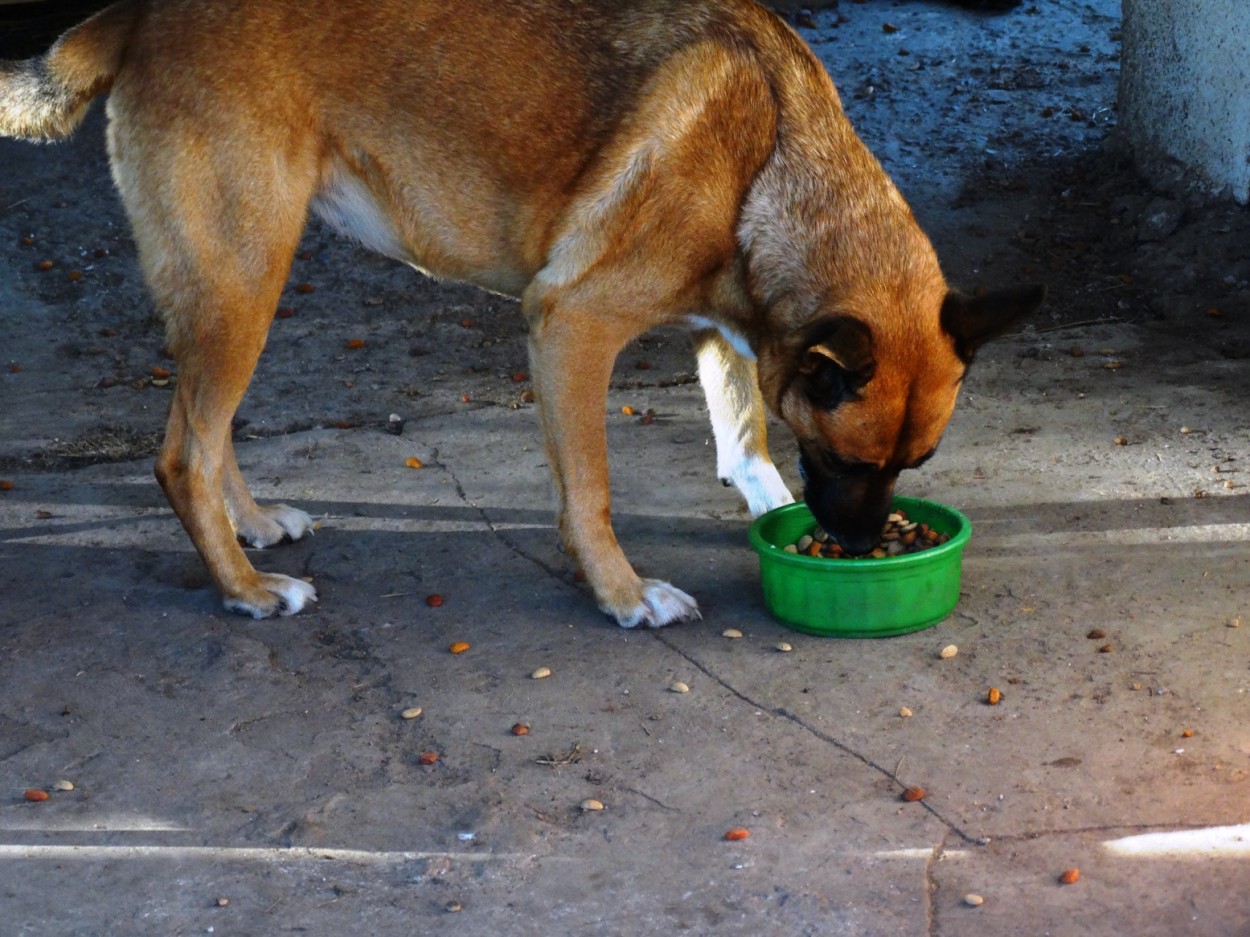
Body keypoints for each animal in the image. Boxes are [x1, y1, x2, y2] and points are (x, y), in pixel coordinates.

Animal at [2, 1, 1045, 632]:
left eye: (914, 466)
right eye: (847, 457)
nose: (862, 550)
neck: (773, 157)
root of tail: (138, 14)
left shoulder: (734, 326)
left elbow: (744, 428)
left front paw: (761, 494)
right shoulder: (571, 326)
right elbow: (591, 493)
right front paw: (623, 594)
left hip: (241, 285)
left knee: (207, 433)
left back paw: (253, 526)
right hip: (242, 281)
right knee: (181, 452)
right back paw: (246, 590)